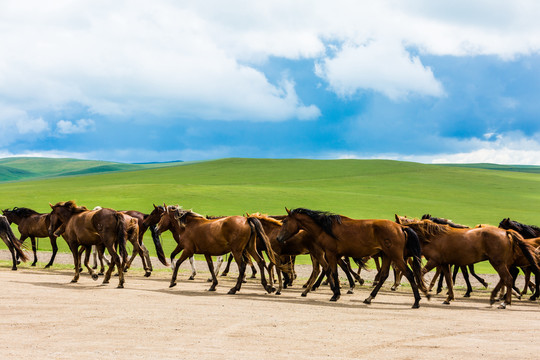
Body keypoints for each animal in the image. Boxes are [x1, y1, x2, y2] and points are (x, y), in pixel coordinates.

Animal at [276, 208, 428, 306]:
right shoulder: (336, 255)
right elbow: (337, 270)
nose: (278, 238)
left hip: (395, 256)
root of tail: (400, 227)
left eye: (285, 221)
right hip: (387, 255)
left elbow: (334, 272)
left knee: (408, 273)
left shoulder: (331, 254)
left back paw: (416, 301)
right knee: (384, 275)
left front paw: (335, 294)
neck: (325, 229)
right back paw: (369, 298)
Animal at [394, 215, 536, 308]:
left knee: (508, 278)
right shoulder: (445, 263)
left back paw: (505, 302)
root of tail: (506, 232)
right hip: (499, 262)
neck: (435, 237)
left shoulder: (434, 261)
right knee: (505, 278)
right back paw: (497, 297)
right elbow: (449, 280)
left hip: (497, 262)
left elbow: (420, 273)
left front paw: (425, 290)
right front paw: (448, 298)